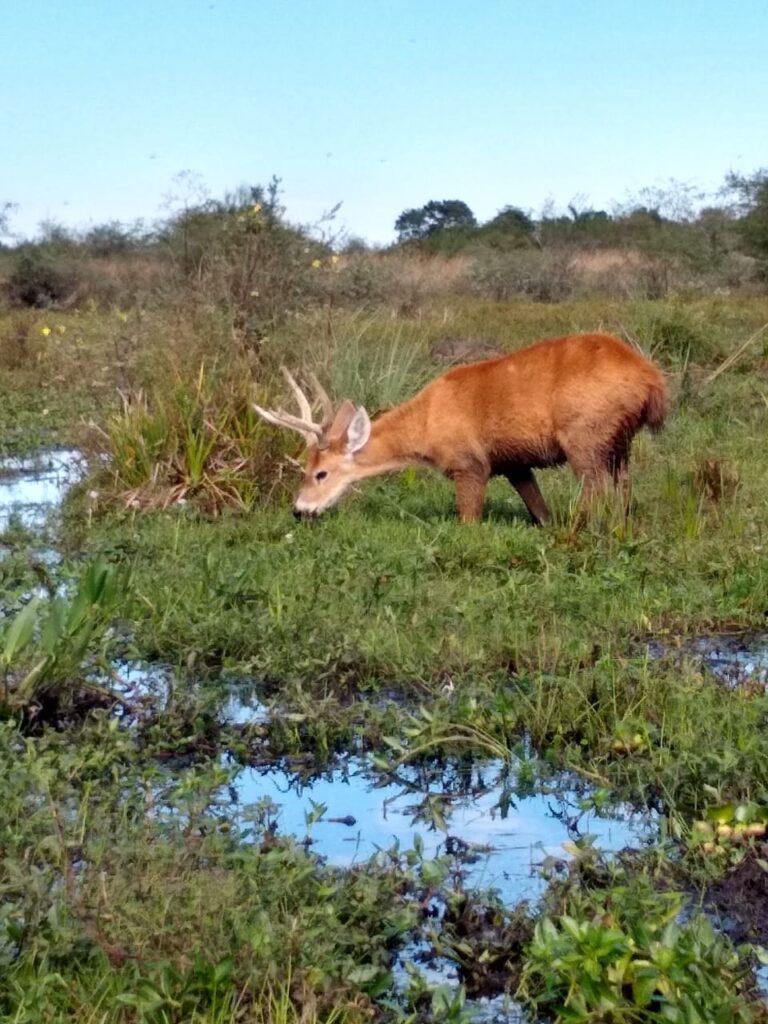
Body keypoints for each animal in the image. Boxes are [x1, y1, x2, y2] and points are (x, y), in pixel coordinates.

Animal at [253, 332, 667, 524]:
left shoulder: (469, 464)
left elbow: (469, 522)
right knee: (624, 489)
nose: (299, 510)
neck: (424, 427)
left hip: (585, 435)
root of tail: (651, 380)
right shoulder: (513, 463)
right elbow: (539, 512)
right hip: (620, 443)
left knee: (595, 492)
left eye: (320, 473)